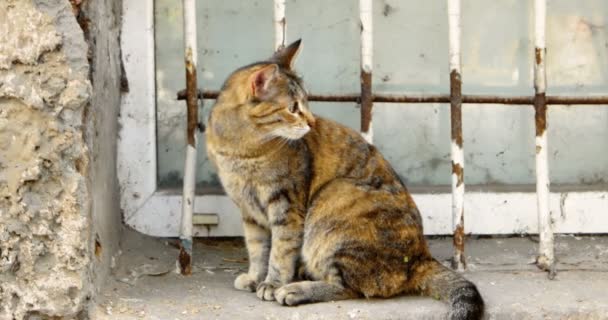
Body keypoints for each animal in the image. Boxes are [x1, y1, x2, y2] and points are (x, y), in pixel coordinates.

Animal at [207, 40, 482, 320]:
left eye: (306, 102)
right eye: (293, 108)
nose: (311, 122)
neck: (239, 149)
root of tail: (420, 258)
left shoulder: (286, 207)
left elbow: (280, 252)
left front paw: (273, 283)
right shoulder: (249, 212)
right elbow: (257, 250)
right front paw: (254, 277)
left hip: (333, 198)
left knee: (348, 287)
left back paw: (296, 289)